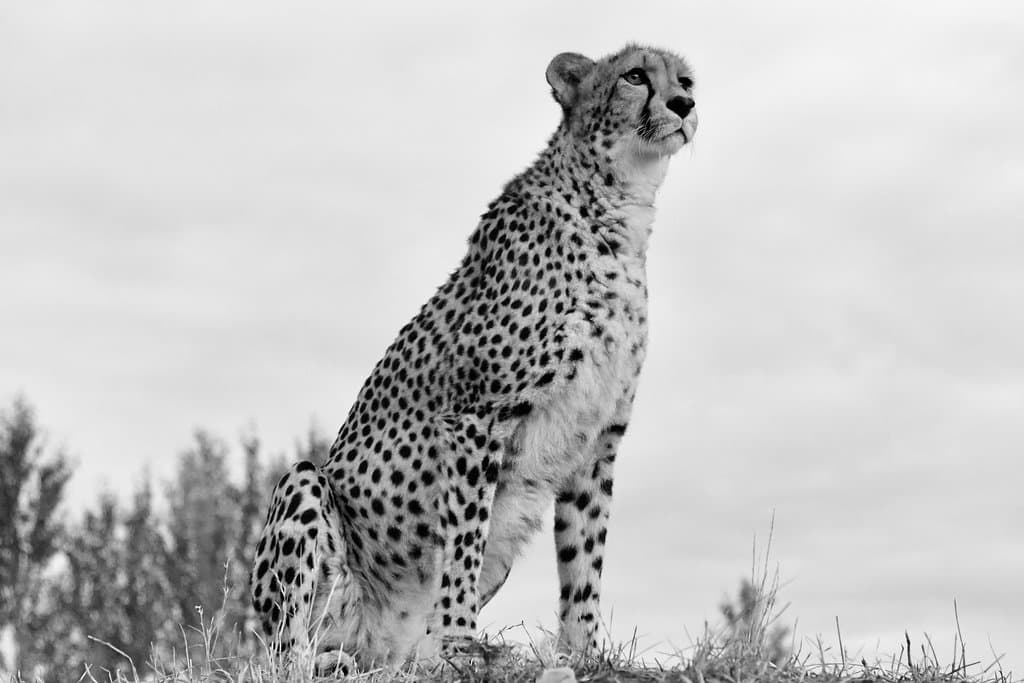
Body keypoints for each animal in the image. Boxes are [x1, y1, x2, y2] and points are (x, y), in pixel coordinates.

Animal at [250, 43, 697, 671]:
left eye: (685, 80)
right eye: (636, 76)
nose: (684, 105)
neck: (619, 206)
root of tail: (378, 645)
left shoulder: (597, 441)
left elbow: (584, 560)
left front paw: (584, 653)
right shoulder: (476, 420)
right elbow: (463, 541)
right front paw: (460, 641)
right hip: (305, 493)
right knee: (285, 646)